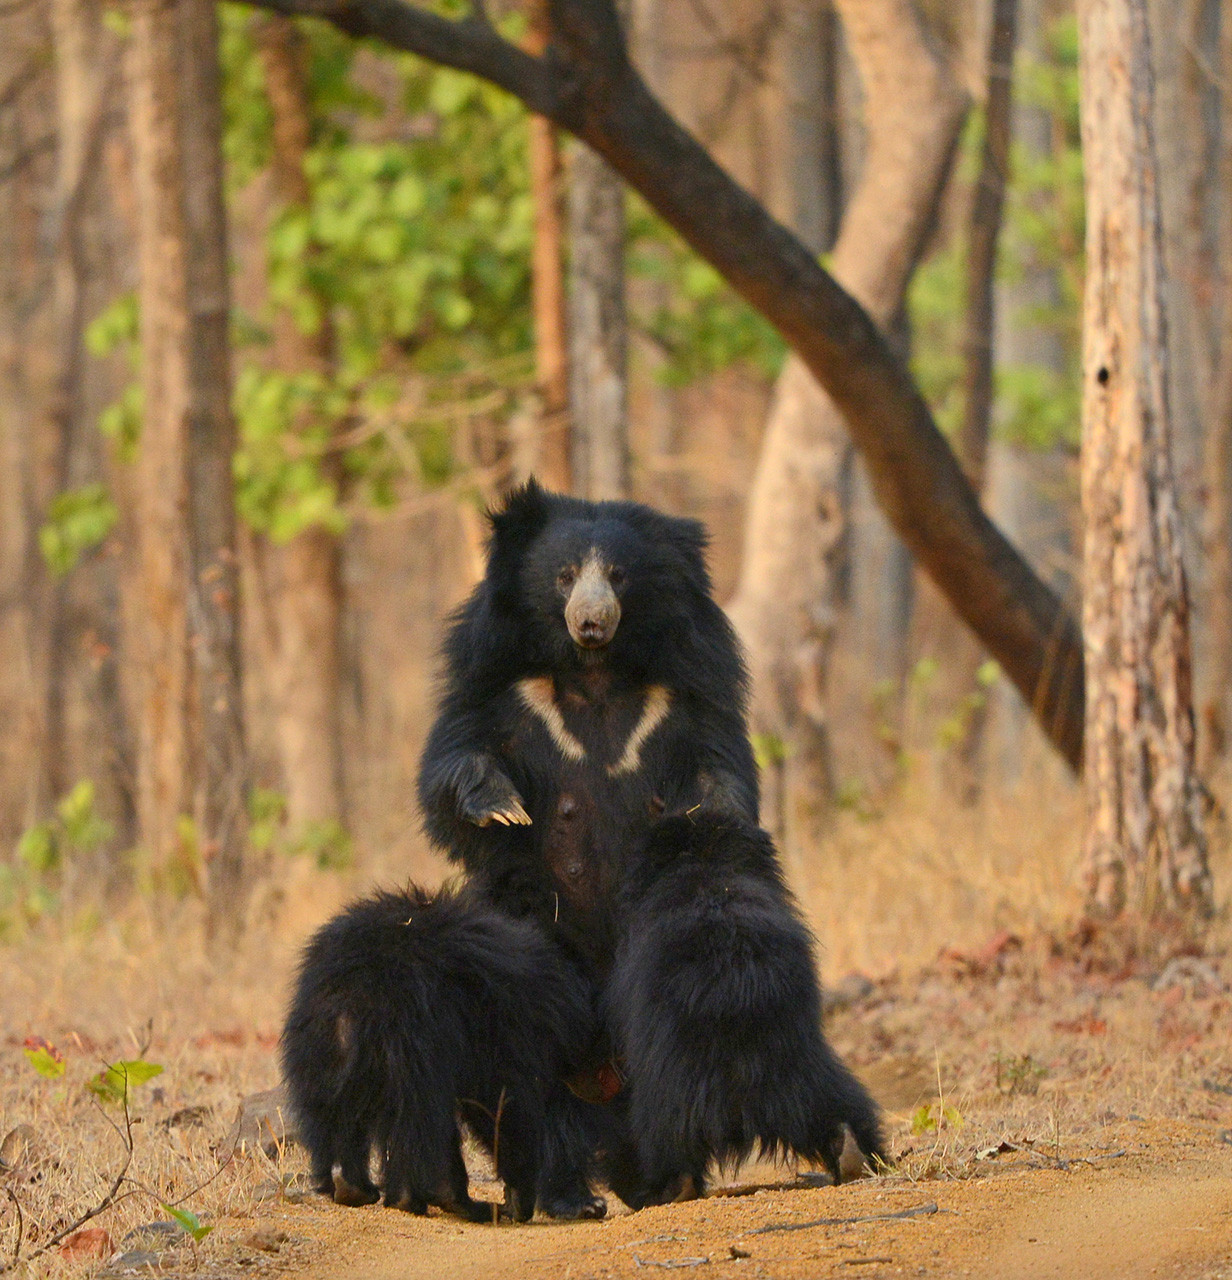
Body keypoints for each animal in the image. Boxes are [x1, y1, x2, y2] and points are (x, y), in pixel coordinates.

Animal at [279, 880, 604, 1218]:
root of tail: (356, 993)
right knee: (420, 1116)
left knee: (334, 1110)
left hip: (322, 1045)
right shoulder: (505, 1029)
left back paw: (352, 1186)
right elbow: (505, 1102)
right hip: (414, 1036)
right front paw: (526, 1198)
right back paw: (439, 1199)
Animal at [612, 814, 881, 1203]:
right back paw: (851, 1152)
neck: (704, 864)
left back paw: (674, 1186)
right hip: (799, 1061)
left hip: (674, 1079)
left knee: (664, 1131)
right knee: (837, 1100)